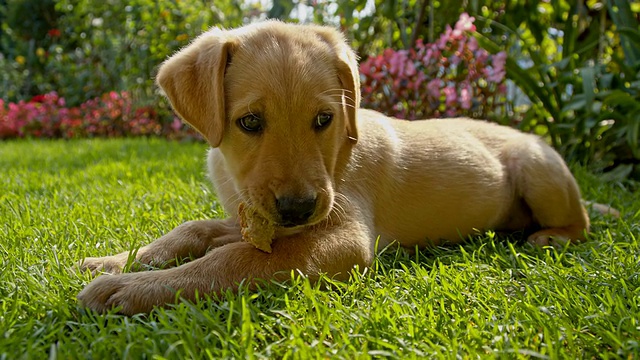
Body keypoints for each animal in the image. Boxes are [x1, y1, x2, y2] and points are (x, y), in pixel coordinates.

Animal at [79, 21, 592, 314]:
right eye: (250, 122)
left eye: (324, 119)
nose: (299, 208)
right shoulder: (258, 219)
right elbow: (193, 229)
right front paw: (117, 259)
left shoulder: (341, 237)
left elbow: (230, 259)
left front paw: (131, 286)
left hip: (538, 169)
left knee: (582, 222)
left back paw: (551, 236)